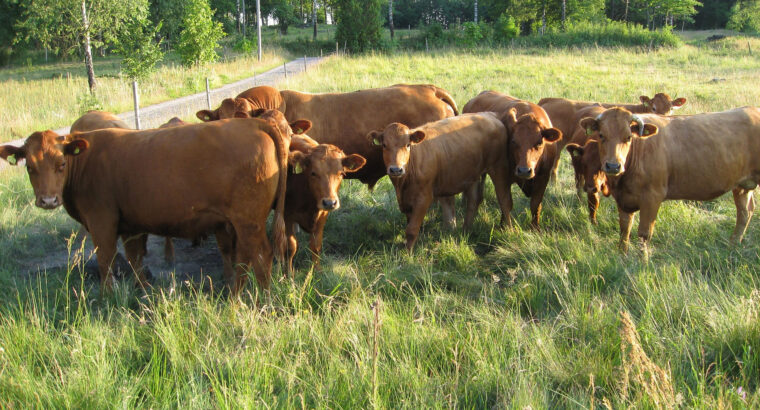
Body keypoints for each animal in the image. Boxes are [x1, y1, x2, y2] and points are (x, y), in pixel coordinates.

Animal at [0, 118, 290, 294]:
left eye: (61, 164)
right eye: (30, 167)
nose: (48, 200)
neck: (85, 161)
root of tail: (253, 122)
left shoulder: (101, 220)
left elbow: (105, 258)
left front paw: (108, 295)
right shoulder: (131, 225)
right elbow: (134, 259)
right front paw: (144, 292)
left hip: (248, 220)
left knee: (261, 256)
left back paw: (261, 300)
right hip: (241, 222)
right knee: (245, 257)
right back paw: (236, 296)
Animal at [366, 112, 510, 250]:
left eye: (408, 145)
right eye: (384, 145)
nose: (396, 169)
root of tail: (490, 115)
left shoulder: (424, 198)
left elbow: (412, 229)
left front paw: (407, 254)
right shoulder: (406, 201)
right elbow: (409, 224)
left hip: (499, 167)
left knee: (504, 199)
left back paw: (508, 230)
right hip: (473, 174)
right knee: (473, 201)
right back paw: (465, 231)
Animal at [460, 91, 560, 229]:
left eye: (539, 142)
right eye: (513, 141)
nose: (524, 170)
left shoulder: (543, 177)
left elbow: (535, 204)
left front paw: (535, 228)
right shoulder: (502, 175)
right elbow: (506, 202)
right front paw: (504, 227)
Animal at [580, 105, 760, 255]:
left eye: (629, 137)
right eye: (601, 135)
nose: (613, 166)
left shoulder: (652, 197)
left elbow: (644, 234)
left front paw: (643, 262)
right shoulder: (624, 199)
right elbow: (625, 230)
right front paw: (622, 256)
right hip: (741, 185)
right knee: (745, 212)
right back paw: (733, 245)